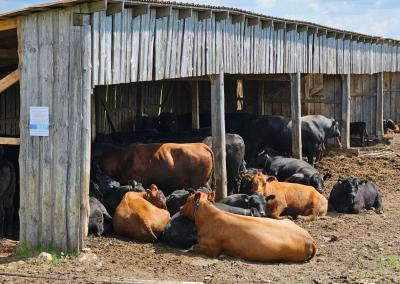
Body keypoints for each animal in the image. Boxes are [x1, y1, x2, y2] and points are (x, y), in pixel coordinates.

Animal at [180, 191, 316, 262]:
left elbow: (194, 247)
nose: (180, 208)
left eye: (188, 200)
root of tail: (310, 239)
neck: (209, 218)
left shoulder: (212, 249)